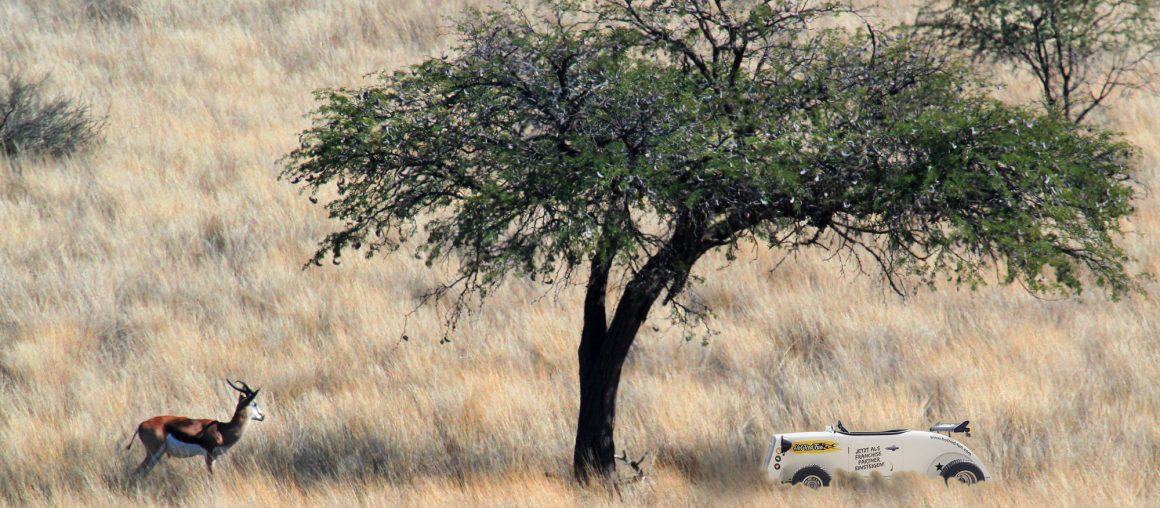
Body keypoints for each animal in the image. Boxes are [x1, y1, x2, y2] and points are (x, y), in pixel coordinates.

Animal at [124, 378, 265, 477]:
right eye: (254, 404)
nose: (262, 416)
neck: (222, 430)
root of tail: (141, 425)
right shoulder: (209, 455)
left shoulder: (214, 457)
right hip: (154, 452)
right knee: (137, 472)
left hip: (157, 455)